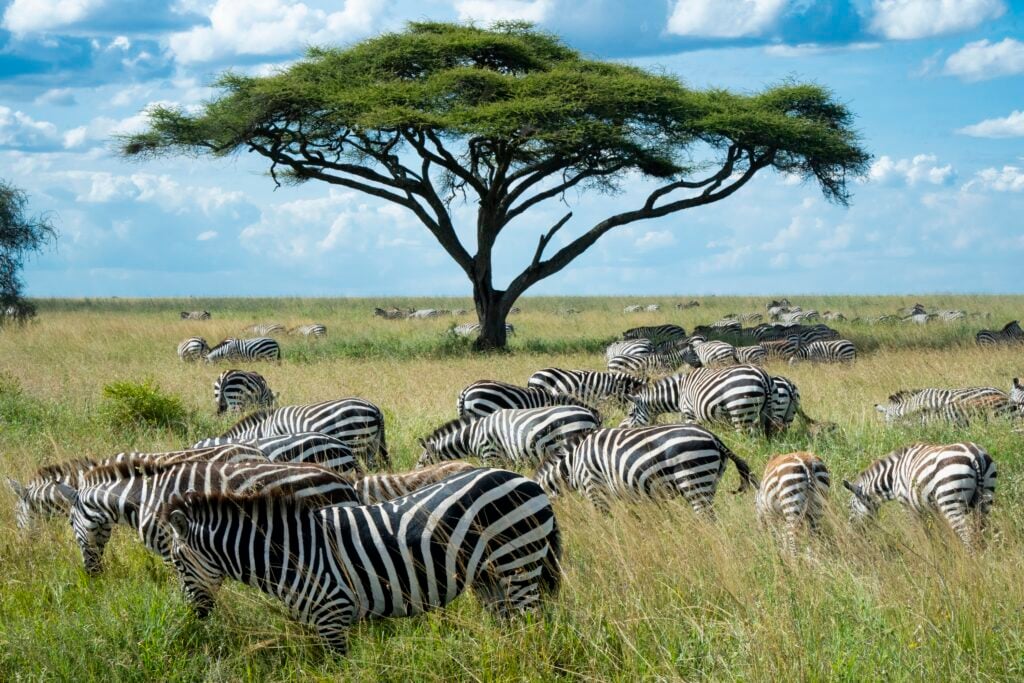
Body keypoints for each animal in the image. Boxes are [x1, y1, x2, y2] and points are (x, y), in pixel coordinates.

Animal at [161, 467, 561, 650]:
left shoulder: (332, 616)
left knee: (534, 623)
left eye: (178, 563)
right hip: (489, 576)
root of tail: (526, 480)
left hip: (518, 560)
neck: (291, 555)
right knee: (509, 624)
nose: (193, 615)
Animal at [534, 424, 754, 516]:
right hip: (709, 483)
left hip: (693, 480)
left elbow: (604, 521)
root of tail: (714, 438)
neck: (572, 465)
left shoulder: (594, 489)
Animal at [623, 365, 772, 434]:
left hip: (740, 411)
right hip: (764, 412)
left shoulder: (690, 414)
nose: (626, 430)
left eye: (630, 414)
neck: (680, 392)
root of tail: (761, 375)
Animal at [843, 442, 996, 550]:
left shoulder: (907, 505)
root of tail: (974, 455)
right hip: (985, 498)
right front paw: (939, 551)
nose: (851, 534)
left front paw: (924, 551)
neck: (893, 477)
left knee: (967, 534)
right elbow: (934, 532)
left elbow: (917, 532)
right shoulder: (930, 508)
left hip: (951, 501)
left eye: (850, 507)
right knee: (982, 531)